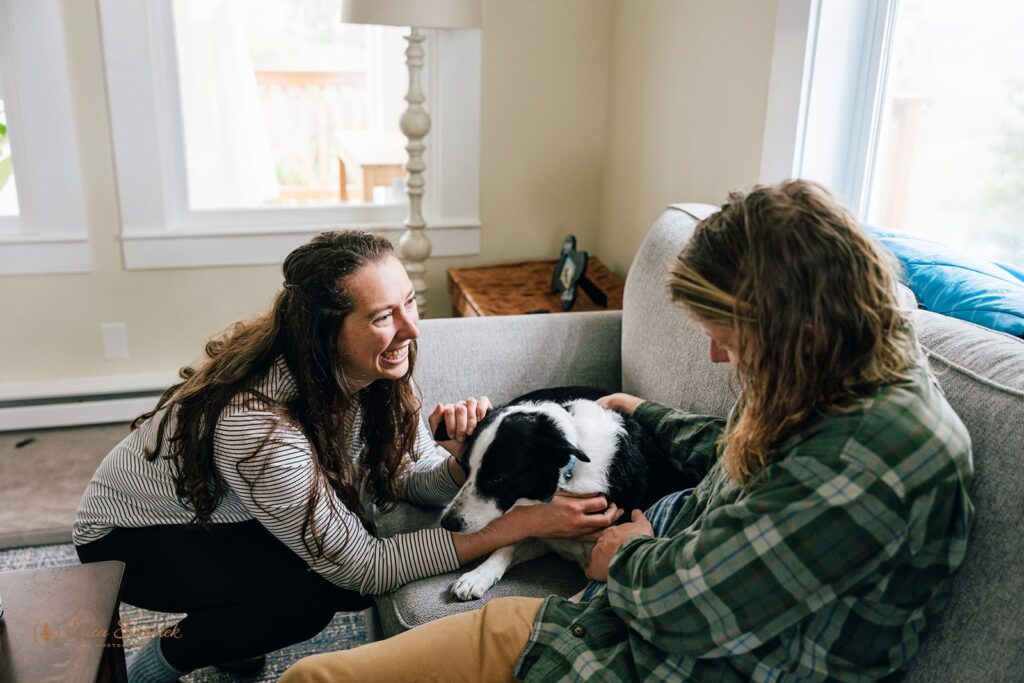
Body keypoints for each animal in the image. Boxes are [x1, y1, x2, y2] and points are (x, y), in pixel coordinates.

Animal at [436, 387, 675, 602]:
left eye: (497, 479)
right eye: (465, 469)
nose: (447, 523)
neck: (568, 473)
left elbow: (581, 599)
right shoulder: (544, 533)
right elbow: (507, 546)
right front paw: (477, 576)